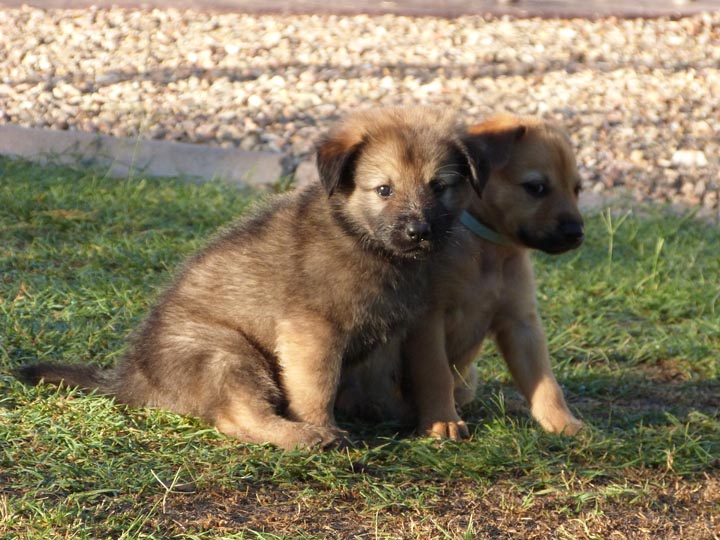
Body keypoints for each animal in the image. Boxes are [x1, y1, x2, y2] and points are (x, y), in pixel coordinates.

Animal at [16, 107, 486, 450]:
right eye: (384, 190)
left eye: (439, 187)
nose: (418, 231)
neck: (360, 239)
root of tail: (134, 375)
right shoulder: (311, 330)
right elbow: (316, 386)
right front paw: (324, 425)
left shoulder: (392, 327)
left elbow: (394, 373)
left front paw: (416, 415)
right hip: (225, 352)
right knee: (237, 417)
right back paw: (306, 437)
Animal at [338, 114, 584, 438]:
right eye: (536, 187)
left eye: (577, 189)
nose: (576, 233)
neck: (488, 253)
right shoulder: (429, 322)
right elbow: (436, 375)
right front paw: (443, 421)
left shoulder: (521, 322)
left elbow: (544, 380)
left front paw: (561, 421)